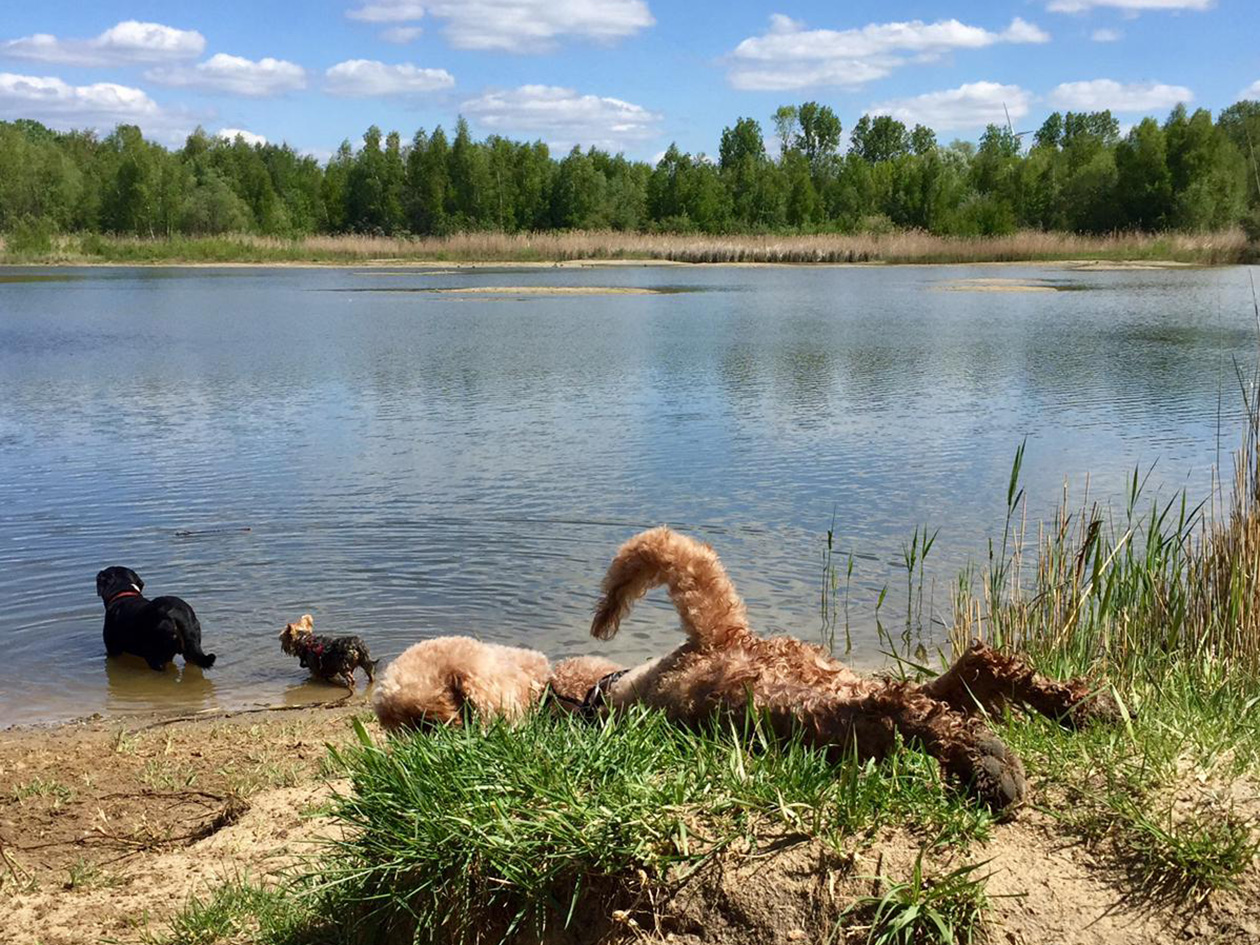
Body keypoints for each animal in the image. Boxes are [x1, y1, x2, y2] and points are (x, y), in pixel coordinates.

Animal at [584, 529, 1118, 811]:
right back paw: (1077, 708)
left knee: (909, 708)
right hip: (842, 686)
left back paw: (989, 764)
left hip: (819, 702)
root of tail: (722, 637)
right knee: (973, 674)